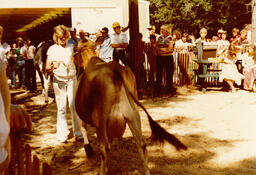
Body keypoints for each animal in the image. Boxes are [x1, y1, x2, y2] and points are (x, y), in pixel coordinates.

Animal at [74, 40, 186, 175]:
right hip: (133, 116)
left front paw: (88, 149)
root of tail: (114, 68)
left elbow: (83, 128)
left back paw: (101, 171)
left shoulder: (82, 114)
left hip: (100, 119)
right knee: (141, 145)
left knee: (104, 147)